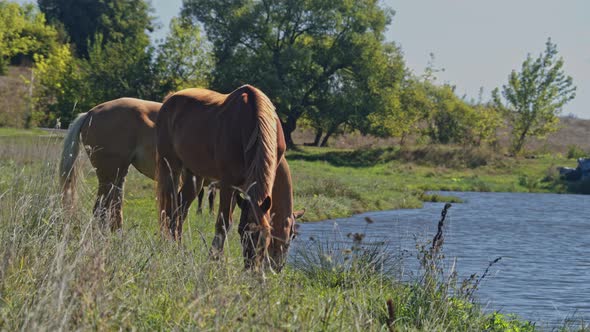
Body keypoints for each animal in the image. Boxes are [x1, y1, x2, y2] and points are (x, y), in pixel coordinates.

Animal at [156, 84, 288, 268]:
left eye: (266, 233)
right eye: (242, 232)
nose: (251, 268)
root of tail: (169, 99)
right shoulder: (227, 183)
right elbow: (224, 222)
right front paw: (214, 260)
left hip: (194, 176)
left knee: (181, 209)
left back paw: (178, 248)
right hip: (171, 168)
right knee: (170, 208)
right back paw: (168, 247)